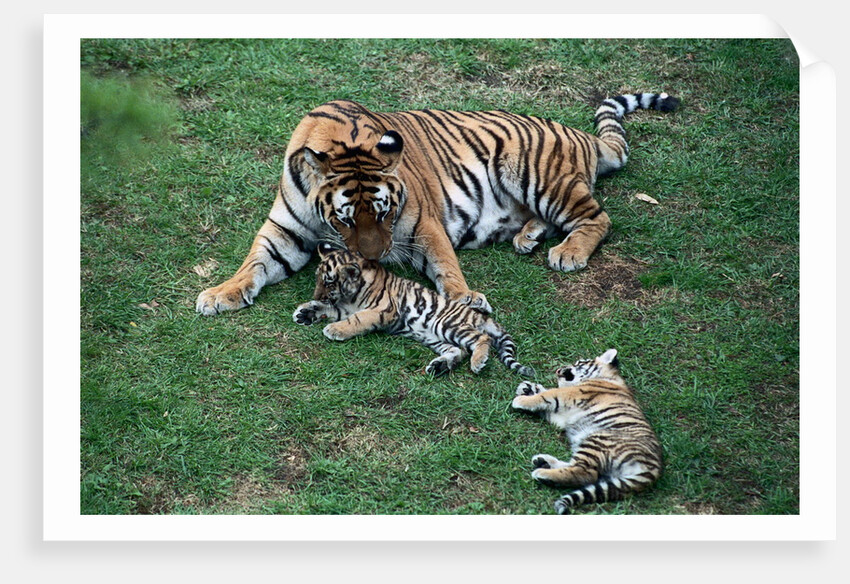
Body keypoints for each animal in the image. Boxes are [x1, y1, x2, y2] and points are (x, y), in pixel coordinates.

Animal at [195, 92, 679, 316]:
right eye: (345, 220)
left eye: (385, 213)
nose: (374, 260)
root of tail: (583, 136)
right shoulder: (283, 231)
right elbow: (253, 263)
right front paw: (220, 293)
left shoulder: (422, 224)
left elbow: (447, 266)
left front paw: (465, 298)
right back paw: (527, 237)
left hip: (537, 175)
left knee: (598, 217)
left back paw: (569, 253)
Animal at [292, 243, 535, 378]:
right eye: (318, 280)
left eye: (329, 283)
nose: (317, 295)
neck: (354, 292)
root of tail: (478, 315)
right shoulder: (346, 306)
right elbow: (331, 308)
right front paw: (306, 312)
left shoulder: (381, 309)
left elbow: (356, 320)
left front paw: (333, 329)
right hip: (433, 337)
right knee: (460, 350)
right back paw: (439, 366)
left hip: (446, 324)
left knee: (482, 339)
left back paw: (478, 363)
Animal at [511, 348, 662, 514]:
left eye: (579, 362)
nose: (558, 369)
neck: (605, 377)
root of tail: (654, 468)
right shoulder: (560, 415)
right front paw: (527, 387)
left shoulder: (570, 394)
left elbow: (547, 394)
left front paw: (520, 400)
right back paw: (543, 462)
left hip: (598, 439)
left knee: (586, 473)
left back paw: (542, 473)